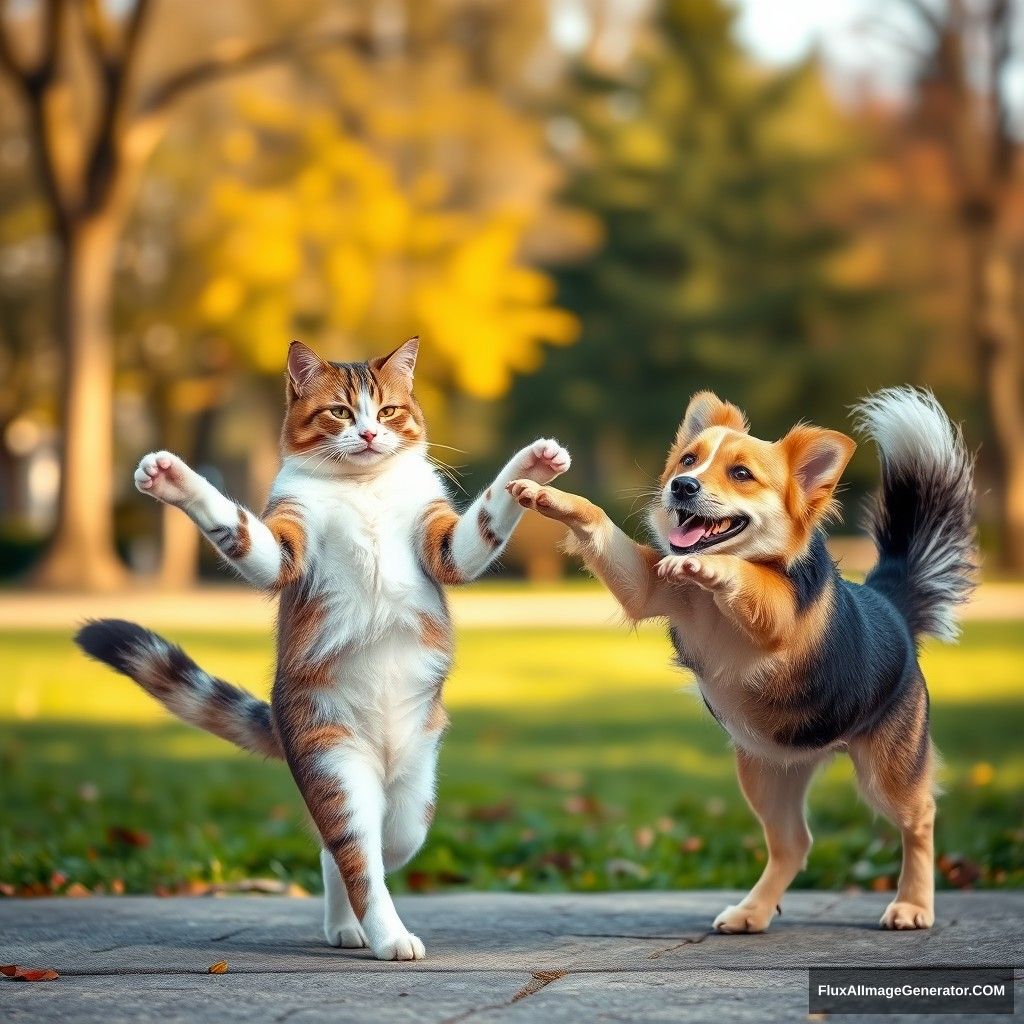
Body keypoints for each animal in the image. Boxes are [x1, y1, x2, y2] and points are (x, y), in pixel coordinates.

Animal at [77, 337, 577, 958]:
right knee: (351, 851)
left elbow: (484, 518)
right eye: (340, 412)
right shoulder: (285, 544)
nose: (367, 434)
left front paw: (533, 468)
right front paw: (174, 480)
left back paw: (356, 926)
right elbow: (236, 526)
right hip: (332, 757)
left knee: (371, 848)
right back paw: (380, 934)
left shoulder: (442, 543)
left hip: (414, 801)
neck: (362, 486)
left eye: (387, 411)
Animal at [512, 387, 974, 933]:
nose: (681, 486)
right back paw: (752, 911)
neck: (711, 601)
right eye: (688, 460)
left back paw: (913, 904)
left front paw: (712, 566)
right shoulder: (649, 588)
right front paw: (551, 496)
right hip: (766, 772)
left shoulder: (779, 618)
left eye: (740, 474)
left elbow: (747, 577)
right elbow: (599, 521)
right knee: (794, 844)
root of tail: (892, 606)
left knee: (919, 820)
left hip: (888, 770)